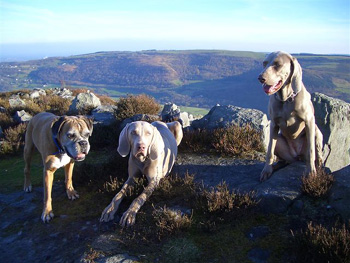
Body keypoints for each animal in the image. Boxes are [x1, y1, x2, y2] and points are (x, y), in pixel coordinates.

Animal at [258, 51, 322, 183]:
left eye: (277, 64)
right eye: (264, 63)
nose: (261, 78)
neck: (286, 99)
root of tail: (297, 155)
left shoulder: (309, 121)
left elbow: (311, 151)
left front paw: (311, 172)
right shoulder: (273, 124)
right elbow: (269, 151)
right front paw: (266, 170)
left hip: (317, 132)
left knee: (317, 154)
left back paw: (318, 166)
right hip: (280, 142)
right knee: (283, 158)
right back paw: (276, 166)